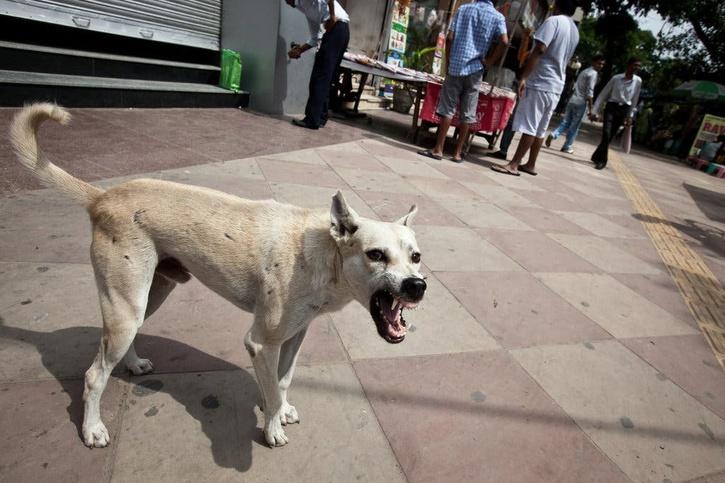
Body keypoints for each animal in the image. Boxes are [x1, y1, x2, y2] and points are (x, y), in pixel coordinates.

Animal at [8, 104, 428, 448]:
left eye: (416, 257)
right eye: (375, 255)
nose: (417, 286)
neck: (322, 253)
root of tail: (102, 197)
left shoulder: (296, 334)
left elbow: (284, 380)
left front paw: (284, 409)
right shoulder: (261, 342)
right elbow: (269, 390)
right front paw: (273, 428)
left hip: (148, 295)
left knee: (119, 344)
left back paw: (133, 364)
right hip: (126, 305)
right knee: (95, 375)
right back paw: (92, 429)